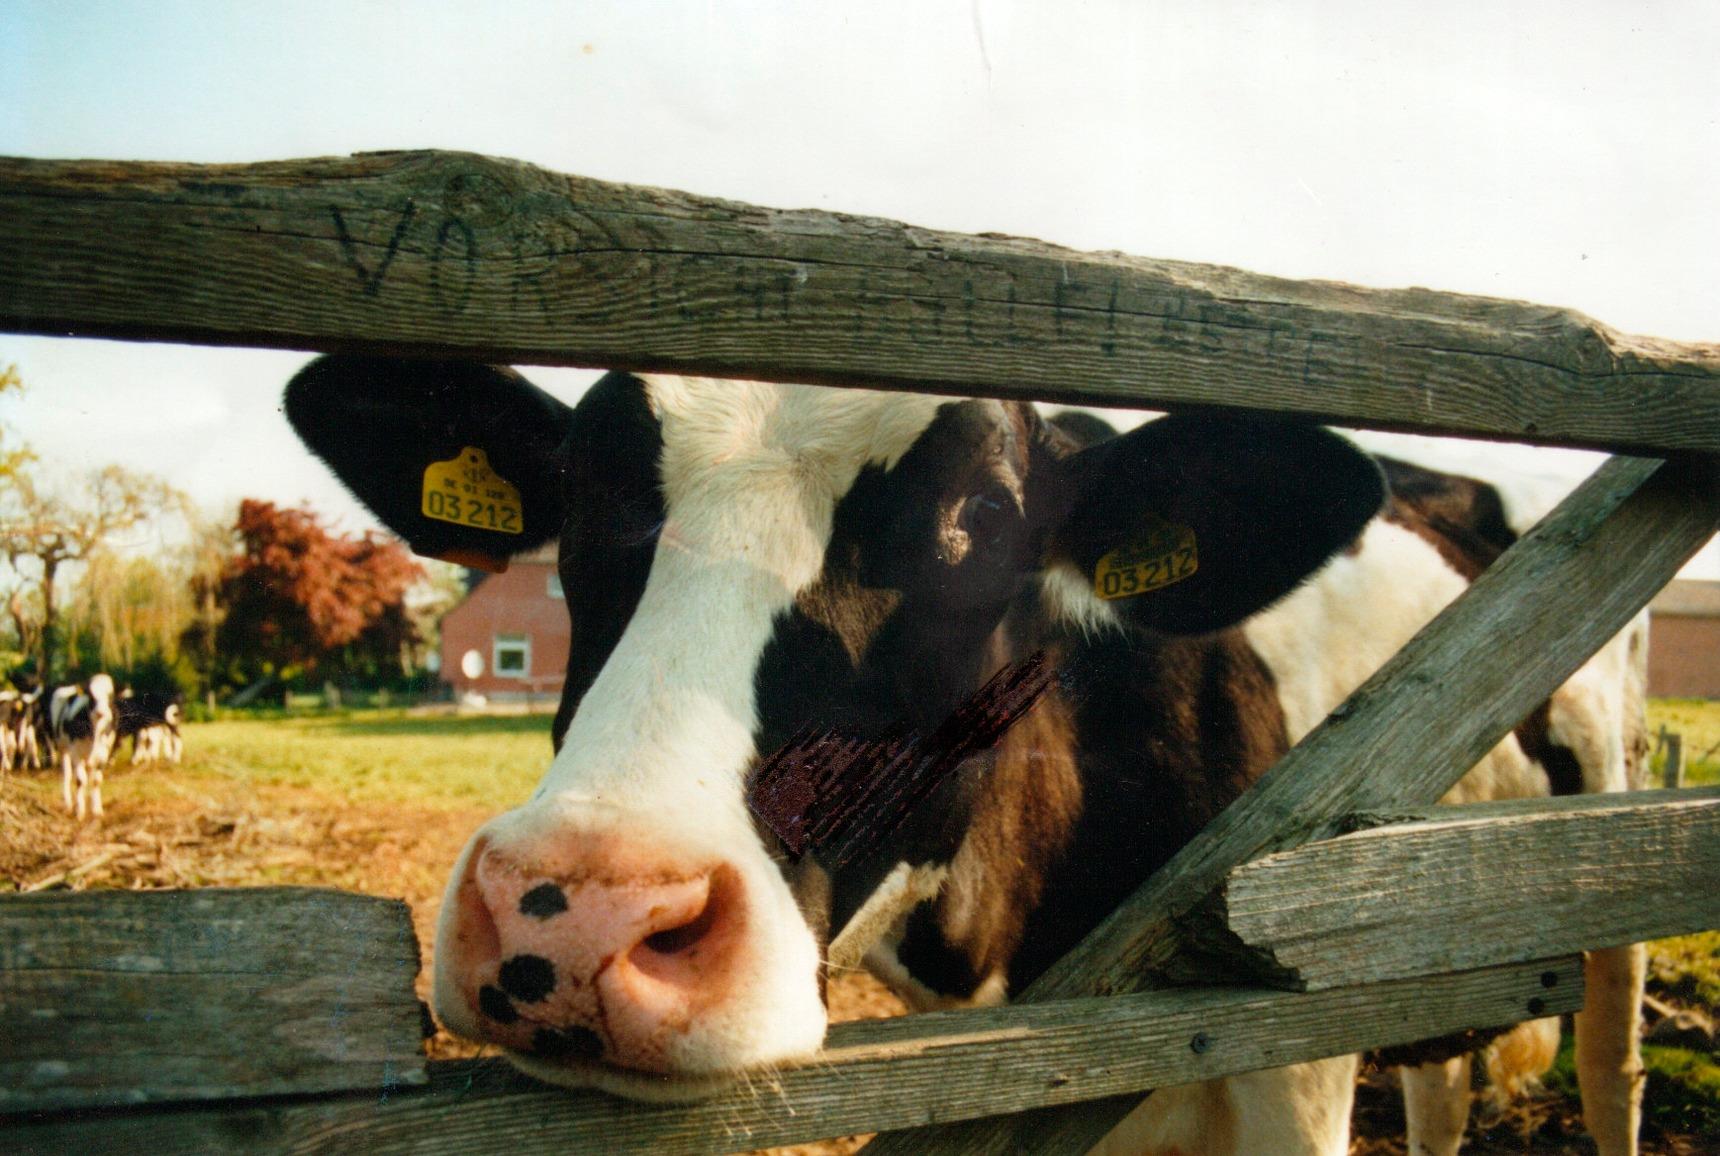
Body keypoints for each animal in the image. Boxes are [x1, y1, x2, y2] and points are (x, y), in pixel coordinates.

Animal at [49, 673, 118, 819]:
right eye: (91, 696)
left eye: (110, 696)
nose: (100, 712)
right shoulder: (76, 753)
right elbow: (80, 780)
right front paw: (80, 812)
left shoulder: (103, 753)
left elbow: (96, 780)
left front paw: (97, 810)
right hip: (62, 747)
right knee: (67, 775)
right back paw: (69, 805)